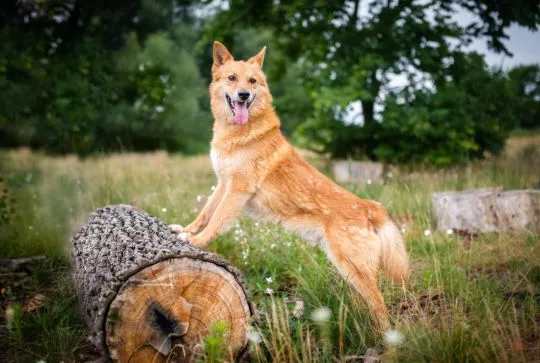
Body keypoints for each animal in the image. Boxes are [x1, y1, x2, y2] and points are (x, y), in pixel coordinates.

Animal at [171, 42, 408, 330]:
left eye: (252, 81)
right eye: (232, 78)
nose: (243, 95)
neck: (243, 132)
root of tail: (369, 208)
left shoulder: (237, 190)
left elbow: (216, 221)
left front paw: (196, 241)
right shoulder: (223, 184)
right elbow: (205, 214)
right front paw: (186, 230)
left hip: (354, 269)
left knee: (381, 308)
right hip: (350, 272)